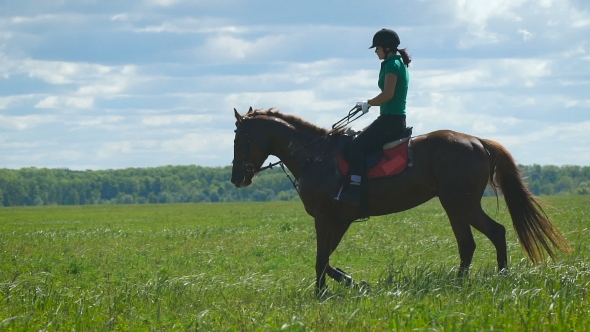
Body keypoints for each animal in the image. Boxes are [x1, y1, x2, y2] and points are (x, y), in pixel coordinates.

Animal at [231, 106, 572, 294]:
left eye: (240, 139)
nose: (237, 178)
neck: (315, 155)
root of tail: (477, 141)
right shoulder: (338, 220)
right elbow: (325, 259)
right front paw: (350, 283)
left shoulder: (328, 218)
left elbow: (321, 260)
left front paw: (325, 292)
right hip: (458, 205)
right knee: (476, 240)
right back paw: (475, 280)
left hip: (459, 204)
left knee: (488, 235)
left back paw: (486, 279)